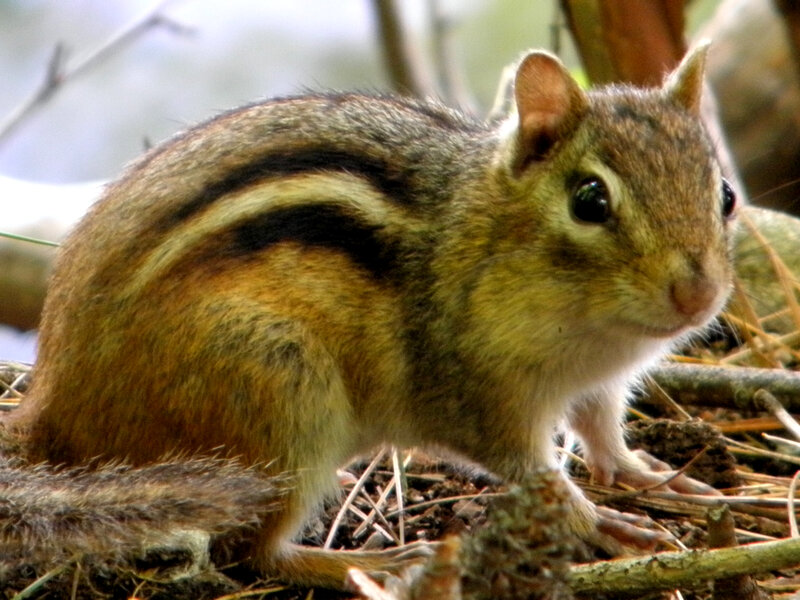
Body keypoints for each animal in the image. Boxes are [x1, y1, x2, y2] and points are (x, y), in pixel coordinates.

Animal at [5, 44, 736, 589]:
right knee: (252, 554)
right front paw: (600, 523)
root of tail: (55, 406)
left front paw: (653, 476)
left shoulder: (601, 383)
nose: (697, 294)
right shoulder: (472, 393)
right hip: (278, 394)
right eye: (589, 200)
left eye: (726, 194)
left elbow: (602, 432)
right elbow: (537, 475)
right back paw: (370, 561)